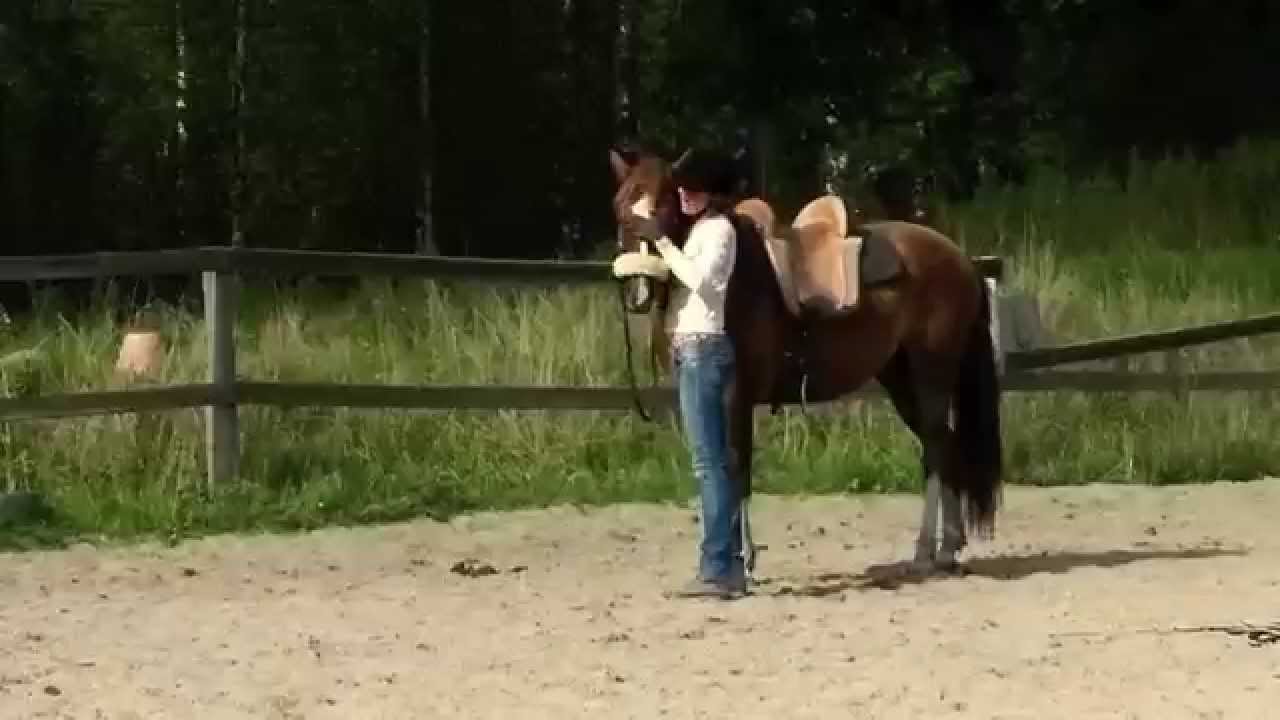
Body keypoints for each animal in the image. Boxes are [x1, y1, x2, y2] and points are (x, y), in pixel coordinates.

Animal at [607, 146, 1004, 579]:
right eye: (620, 207)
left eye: (663, 205)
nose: (639, 289)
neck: (736, 280)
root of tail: (961, 260)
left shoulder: (736, 393)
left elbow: (736, 468)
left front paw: (743, 560)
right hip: (900, 379)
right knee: (941, 446)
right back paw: (939, 551)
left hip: (931, 373)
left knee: (936, 449)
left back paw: (934, 552)